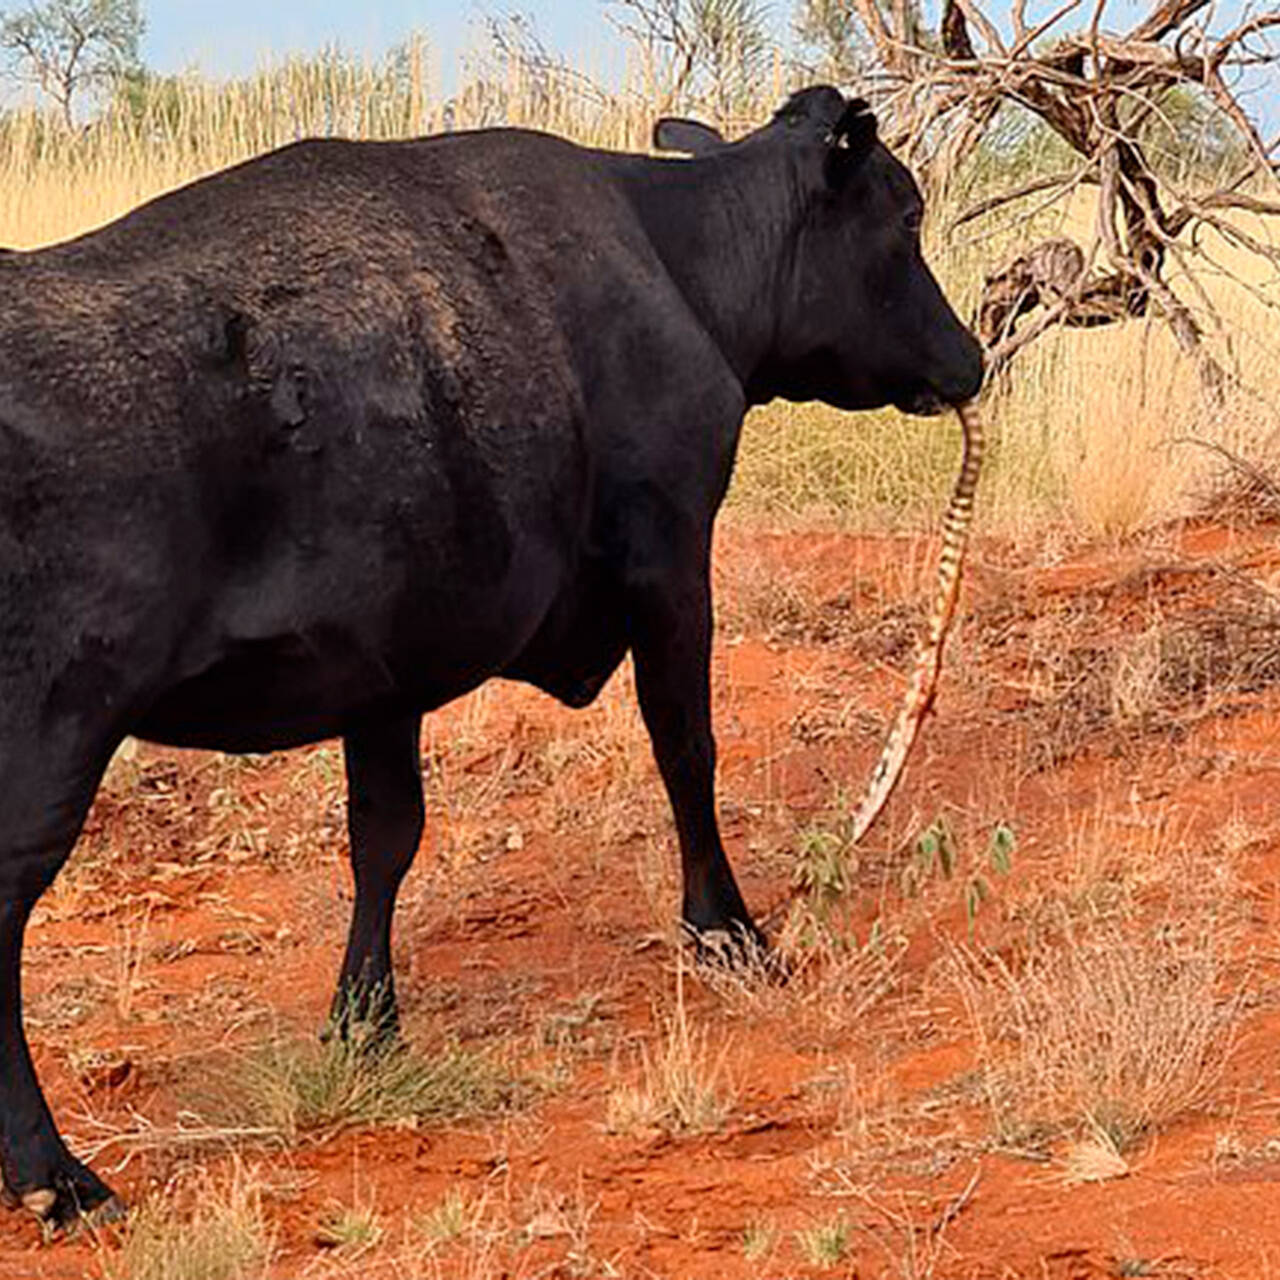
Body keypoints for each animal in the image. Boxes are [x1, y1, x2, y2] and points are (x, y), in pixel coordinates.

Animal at [0, 85, 977, 1223]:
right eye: (905, 213)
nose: (971, 358)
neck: (675, 257)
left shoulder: (383, 663)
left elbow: (384, 836)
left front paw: (365, 1022)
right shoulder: (670, 555)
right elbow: (687, 750)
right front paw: (728, 928)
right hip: (52, 740)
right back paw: (55, 1174)